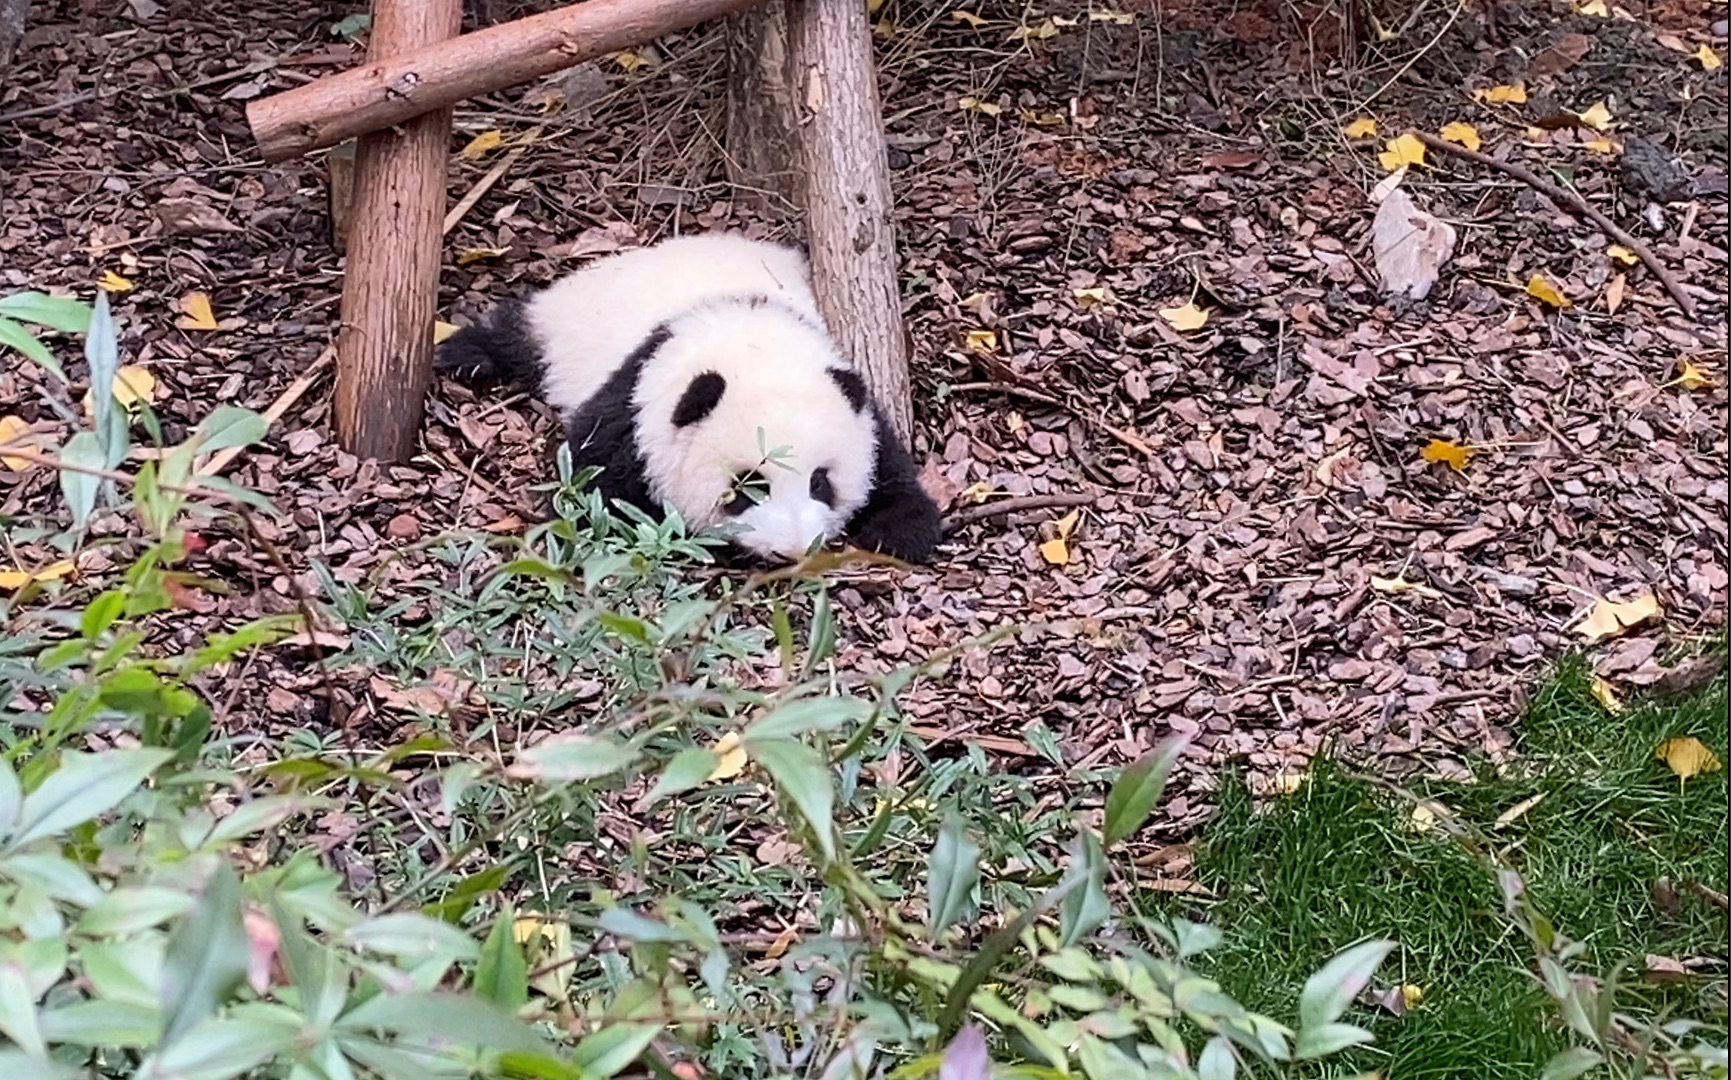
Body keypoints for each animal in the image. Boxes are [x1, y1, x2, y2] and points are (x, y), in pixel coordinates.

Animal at [439, 233, 941, 564]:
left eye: (821, 482)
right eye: (750, 485)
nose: (792, 549)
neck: (750, 336)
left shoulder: (851, 394)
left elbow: (887, 466)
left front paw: (899, 531)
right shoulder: (637, 400)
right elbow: (591, 483)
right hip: (564, 318)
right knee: (517, 334)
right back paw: (467, 356)